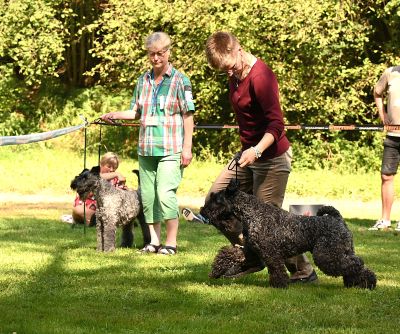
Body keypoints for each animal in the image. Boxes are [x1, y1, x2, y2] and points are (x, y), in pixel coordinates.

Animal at [202, 180, 376, 290]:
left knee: (356, 263)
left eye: (216, 199)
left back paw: (368, 283)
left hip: (326, 255)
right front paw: (216, 271)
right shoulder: (251, 250)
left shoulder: (270, 253)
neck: (253, 213)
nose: (203, 211)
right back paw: (357, 283)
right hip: (342, 251)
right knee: (354, 264)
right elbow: (229, 253)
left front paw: (279, 285)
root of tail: (338, 219)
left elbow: (276, 269)